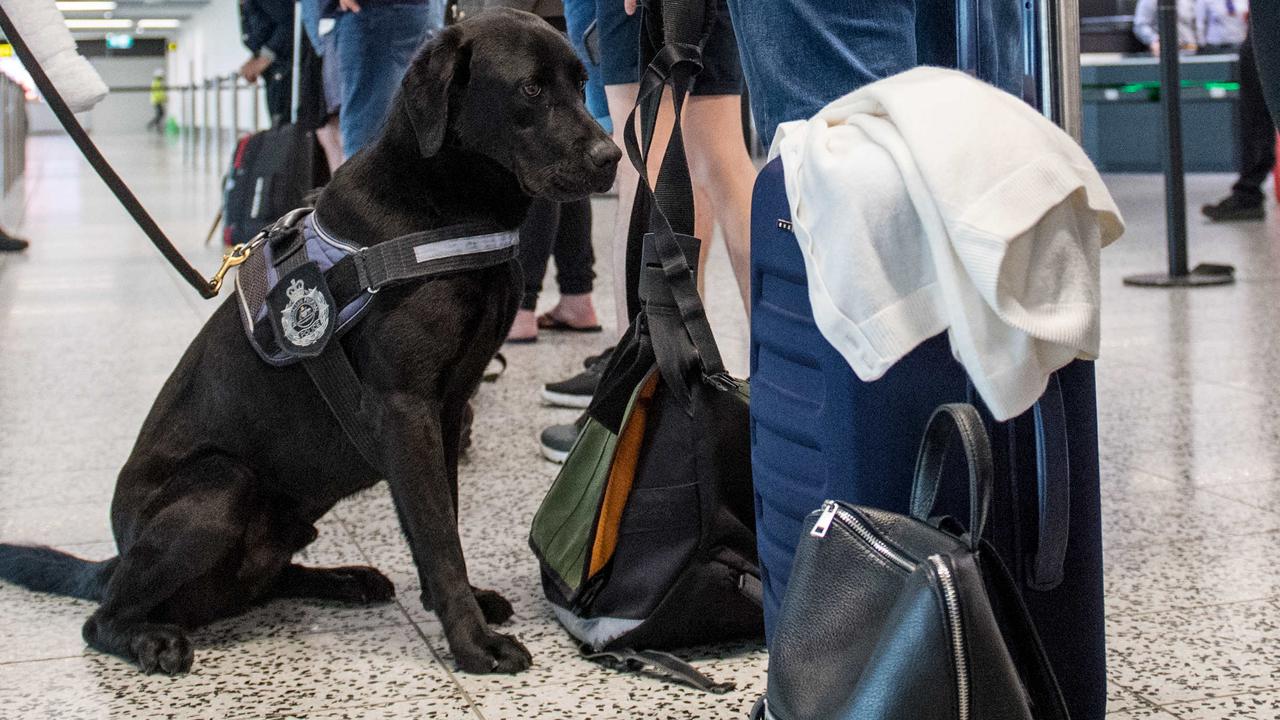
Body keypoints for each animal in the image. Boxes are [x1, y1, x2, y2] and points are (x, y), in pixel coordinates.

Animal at [0, 8, 619, 676]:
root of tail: (116, 553)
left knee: (263, 582)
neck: (443, 203)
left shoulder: (448, 410)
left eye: (582, 84)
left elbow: (443, 517)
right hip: (220, 484)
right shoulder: (406, 409)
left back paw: (345, 579)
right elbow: (437, 532)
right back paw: (152, 639)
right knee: (102, 617)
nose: (612, 156)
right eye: (530, 88)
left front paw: (462, 606)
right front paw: (472, 641)